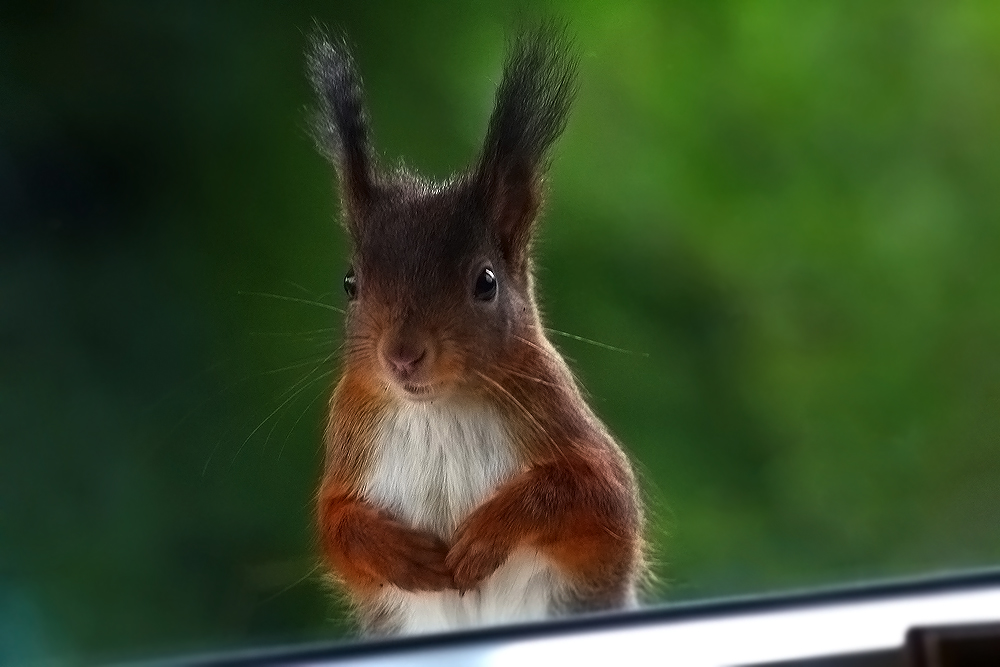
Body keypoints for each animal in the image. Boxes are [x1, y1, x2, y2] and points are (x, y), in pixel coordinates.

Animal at [308, 22, 644, 636]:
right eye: (349, 283)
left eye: (485, 282)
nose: (402, 356)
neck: (438, 408)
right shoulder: (350, 430)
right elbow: (336, 526)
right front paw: (400, 554)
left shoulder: (564, 425)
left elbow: (599, 496)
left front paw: (488, 535)